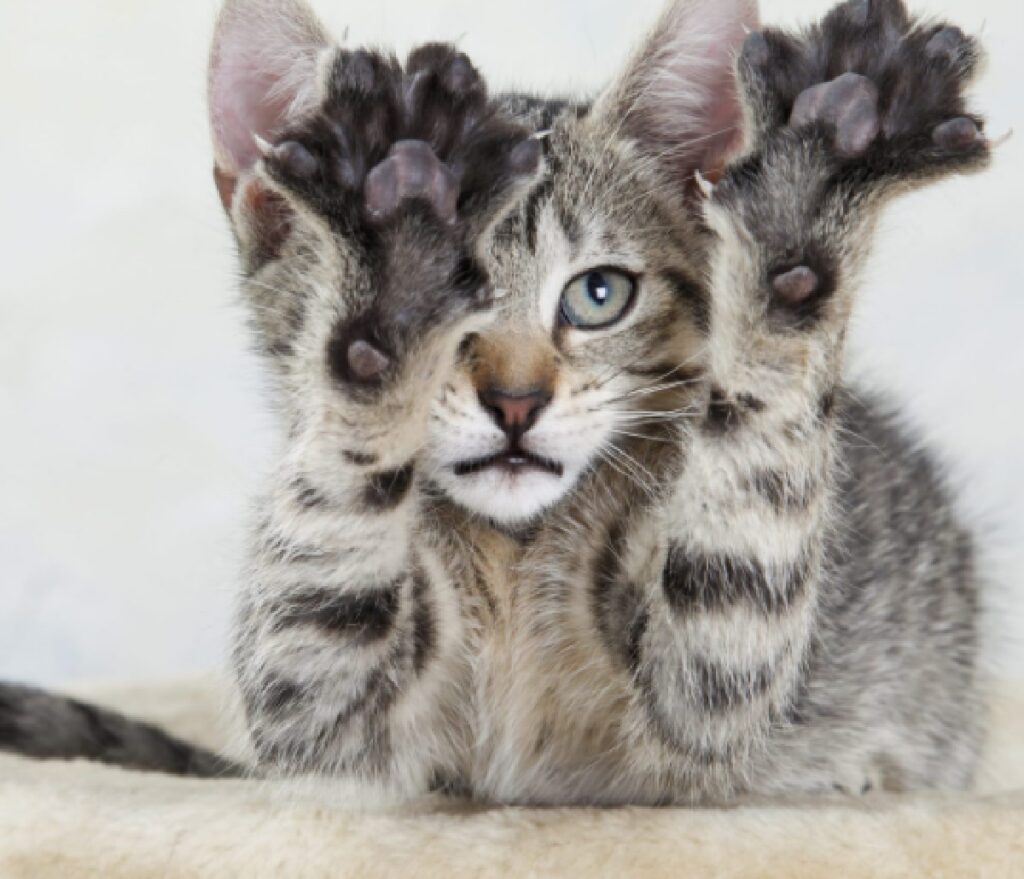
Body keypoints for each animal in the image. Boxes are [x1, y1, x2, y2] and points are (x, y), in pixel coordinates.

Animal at [0, 0, 991, 803]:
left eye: (599, 294)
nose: (516, 401)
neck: (511, 548)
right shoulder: (317, 707)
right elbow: (318, 596)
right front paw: (395, 261)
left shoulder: (715, 687)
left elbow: (738, 568)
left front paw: (811, 193)